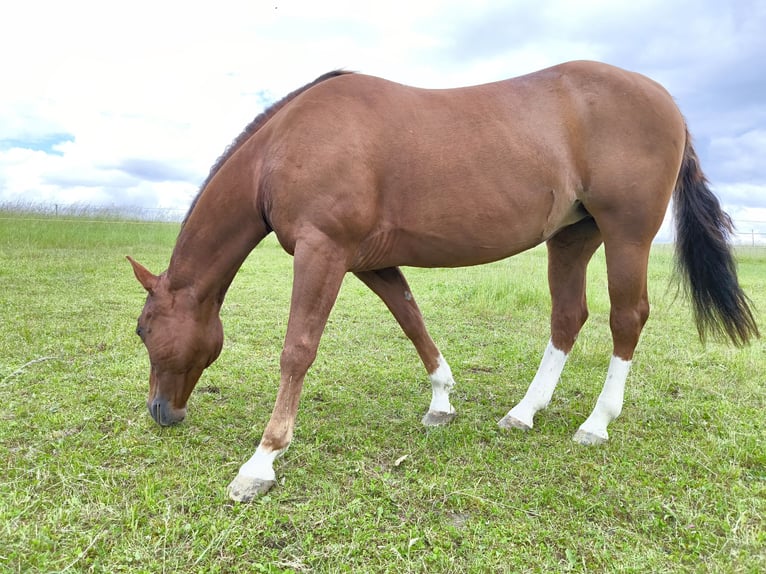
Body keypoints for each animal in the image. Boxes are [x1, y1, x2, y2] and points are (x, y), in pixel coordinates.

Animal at [129, 62, 760, 504]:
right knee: (567, 317)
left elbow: (298, 350)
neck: (286, 146)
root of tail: (667, 102)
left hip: (626, 234)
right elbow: (412, 320)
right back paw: (524, 412)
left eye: (143, 330)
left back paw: (596, 423)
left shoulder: (321, 251)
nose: (161, 413)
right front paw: (441, 399)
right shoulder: (366, 261)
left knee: (626, 319)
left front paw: (261, 461)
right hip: (572, 238)